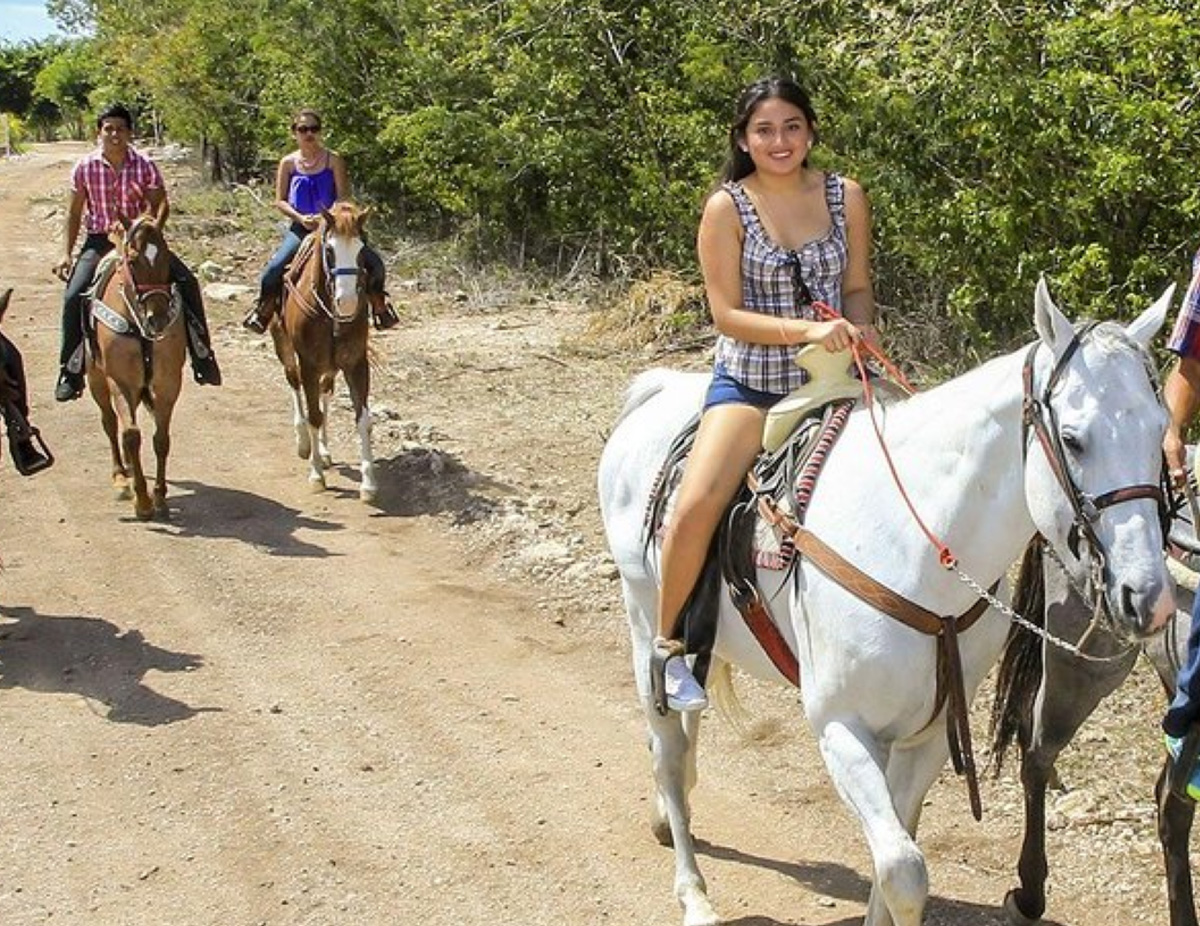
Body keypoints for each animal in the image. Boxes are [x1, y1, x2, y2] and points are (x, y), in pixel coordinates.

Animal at [87, 218, 187, 520]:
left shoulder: (168, 383)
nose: (158, 319)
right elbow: (131, 435)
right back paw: (121, 477)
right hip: (96, 378)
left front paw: (160, 497)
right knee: (110, 422)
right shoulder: (120, 381)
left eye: (167, 257)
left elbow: (161, 439)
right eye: (132, 260)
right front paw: (142, 502)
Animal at [271, 200, 374, 503]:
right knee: (294, 384)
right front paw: (316, 475)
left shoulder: (356, 363)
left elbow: (363, 419)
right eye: (329, 250)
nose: (347, 302)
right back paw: (304, 443)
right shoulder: (308, 363)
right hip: (285, 348)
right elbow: (314, 416)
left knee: (326, 391)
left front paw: (368, 484)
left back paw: (325, 450)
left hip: (330, 367)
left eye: (362, 249)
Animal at [595, 280, 1176, 926]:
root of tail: (659, 388)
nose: (1148, 597)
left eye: (1161, 429)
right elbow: (903, 869)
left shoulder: (929, 733)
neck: (916, 548)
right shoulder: (841, 727)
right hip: (644, 619)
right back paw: (694, 892)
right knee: (668, 746)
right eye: (1073, 439)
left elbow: (897, 847)